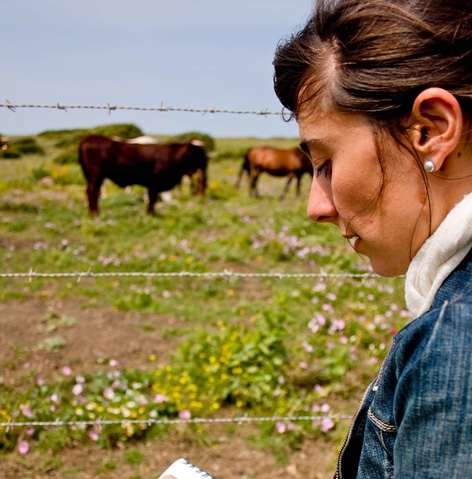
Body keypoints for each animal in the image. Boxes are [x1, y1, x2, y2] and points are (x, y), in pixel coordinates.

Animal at [78, 135, 207, 218]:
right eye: (199, 153)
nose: (206, 159)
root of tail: (89, 138)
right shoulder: (155, 183)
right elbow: (152, 200)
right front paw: (151, 215)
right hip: (96, 175)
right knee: (93, 192)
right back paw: (95, 215)